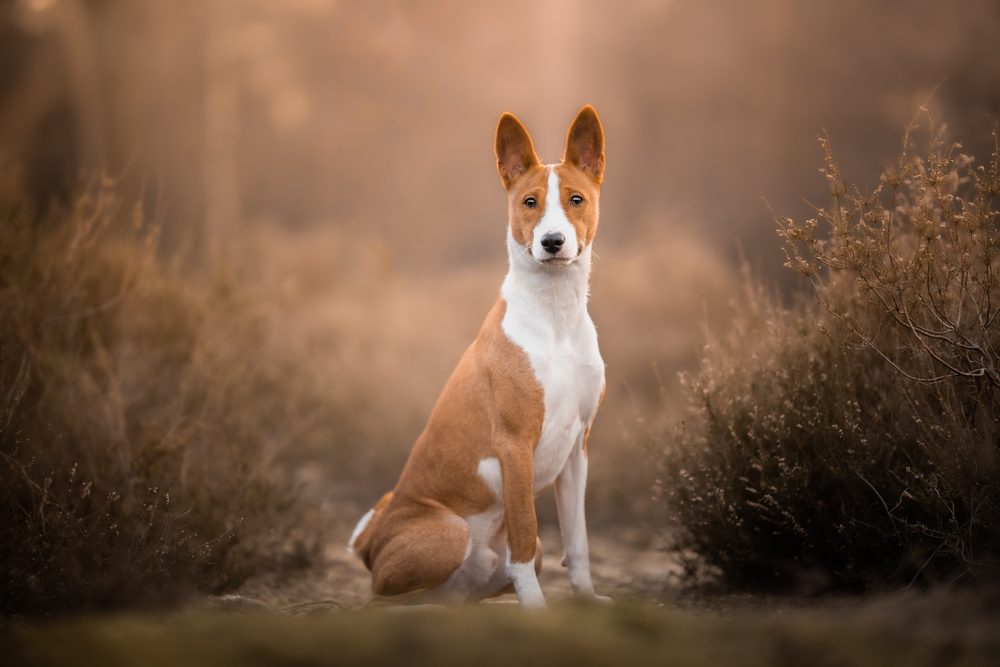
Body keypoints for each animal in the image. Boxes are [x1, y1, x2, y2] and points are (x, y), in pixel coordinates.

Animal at [348, 105, 604, 612]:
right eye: (529, 202)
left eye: (576, 199)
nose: (552, 242)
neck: (556, 318)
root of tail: (372, 541)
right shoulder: (514, 447)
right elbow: (524, 534)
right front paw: (538, 610)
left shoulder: (577, 452)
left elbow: (579, 540)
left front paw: (586, 599)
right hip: (447, 532)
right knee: (379, 597)